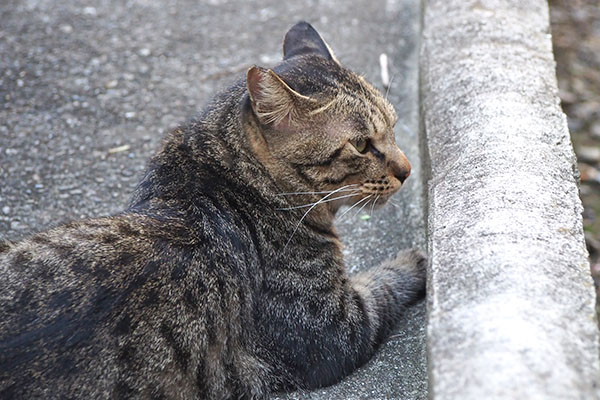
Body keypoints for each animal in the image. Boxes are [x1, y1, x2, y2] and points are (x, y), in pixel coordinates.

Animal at [0, 22, 424, 400]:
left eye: (394, 125)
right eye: (362, 145)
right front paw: (414, 260)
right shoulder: (337, 330)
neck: (224, 177)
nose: (407, 170)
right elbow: (382, 285)